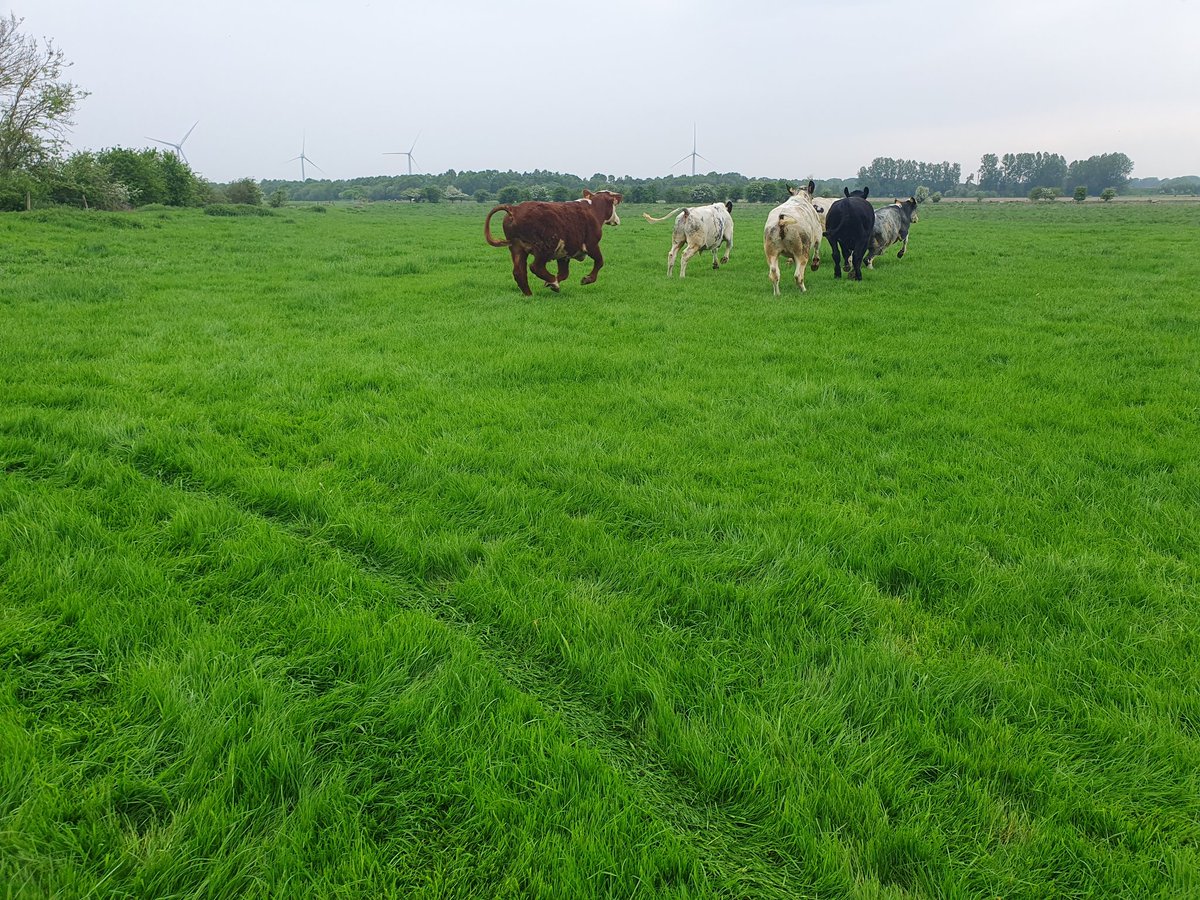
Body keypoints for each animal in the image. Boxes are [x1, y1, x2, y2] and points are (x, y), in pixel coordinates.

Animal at [484, 189, 623, 295]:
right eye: (614, 205)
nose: (617, 220)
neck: (593, 209)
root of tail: (515, 208)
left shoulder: (564, 254)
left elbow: (564, 273)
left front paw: (548, 282)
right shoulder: (591, 245)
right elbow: (600, 261)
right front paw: (587, 279)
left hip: (517, 248)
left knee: (519, 272)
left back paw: (529, 294)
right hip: (544, 248)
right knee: (535, 267)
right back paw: (554, 283)